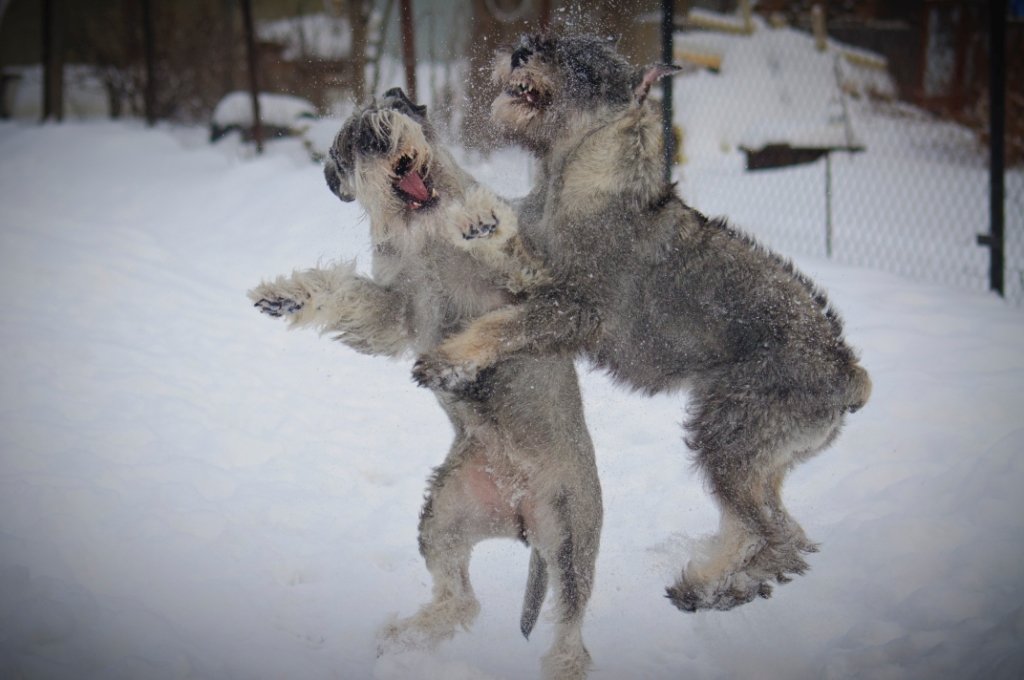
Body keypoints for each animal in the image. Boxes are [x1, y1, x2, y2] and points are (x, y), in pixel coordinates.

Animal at [246, 90, 598, 680]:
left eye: (382, 112)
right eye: (347, 145)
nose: (376, 135)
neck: (430, 234)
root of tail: (519, 517)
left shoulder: (544, 294)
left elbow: (518, 261)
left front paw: (483, 221)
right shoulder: (398, 313)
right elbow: (344, 295)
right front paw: (287, 296)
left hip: (570, 537)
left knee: (571, 630)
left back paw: (560, 664)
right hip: (443, 516)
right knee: (461, 601)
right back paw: (401, 638)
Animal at [415, 34, 872, 614]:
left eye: (586, 65)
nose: (520, 53)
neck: (575, 171)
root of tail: (848, 373)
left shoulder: (575, 307)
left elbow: (501, 325)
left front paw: (448, 360)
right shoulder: (540, 267)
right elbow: (513, 241)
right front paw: (479, 219)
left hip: (727, 438)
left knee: (764, 533)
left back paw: (708, 586)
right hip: (761, 462)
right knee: (781, 533)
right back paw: (725, 583)